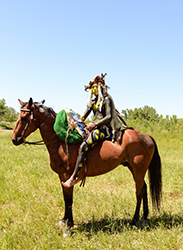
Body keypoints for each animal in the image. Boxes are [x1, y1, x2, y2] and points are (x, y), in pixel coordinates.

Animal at [11, 97, 162, 236]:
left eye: (23, 118)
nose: (14, 139)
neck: (61, 142)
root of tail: (146, 136)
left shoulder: (67, 177)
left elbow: (69, 200)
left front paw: (69, 227)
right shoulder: (62, 177)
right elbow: (65, 199)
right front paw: (64, 220)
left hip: (138, 169)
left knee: (139, 192)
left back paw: (133, 220)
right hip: (134, 168)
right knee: (144, 188)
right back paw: (144, 218)